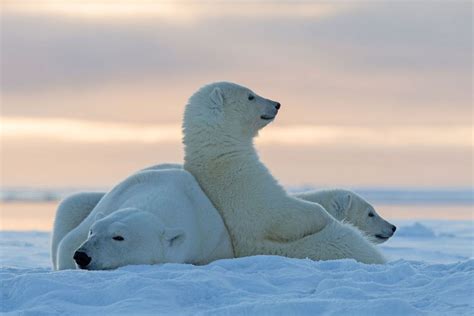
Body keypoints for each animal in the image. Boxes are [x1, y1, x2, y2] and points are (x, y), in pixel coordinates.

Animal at [51, 169, 233, 270]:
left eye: (119, 237)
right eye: (91, 231)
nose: (82, 256)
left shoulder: (211, 240)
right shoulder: (112, 200)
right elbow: (66, 244)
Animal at [181, 82, 386, 264]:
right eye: (250, 96)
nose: (277, 104)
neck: (221, 157)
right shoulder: (247, 189)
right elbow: (287, 215)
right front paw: (327, 215)